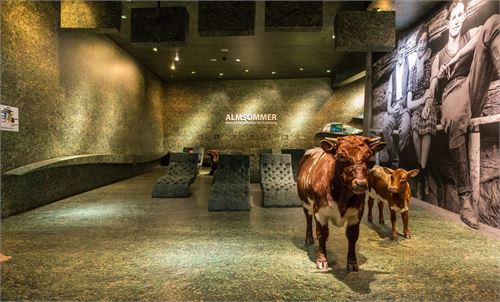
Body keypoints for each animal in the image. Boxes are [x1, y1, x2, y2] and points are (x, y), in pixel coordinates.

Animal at [296, 135, 386, 272]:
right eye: (341, 156)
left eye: (368, 156)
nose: (361, 184)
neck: (342, 197)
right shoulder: (320, 213)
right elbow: (322, 234)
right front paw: (322, 260)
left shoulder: (356, 213)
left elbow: (352, 236)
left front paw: (352, 263)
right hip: (305, 204)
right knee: (308, 219)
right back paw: (309, 238)